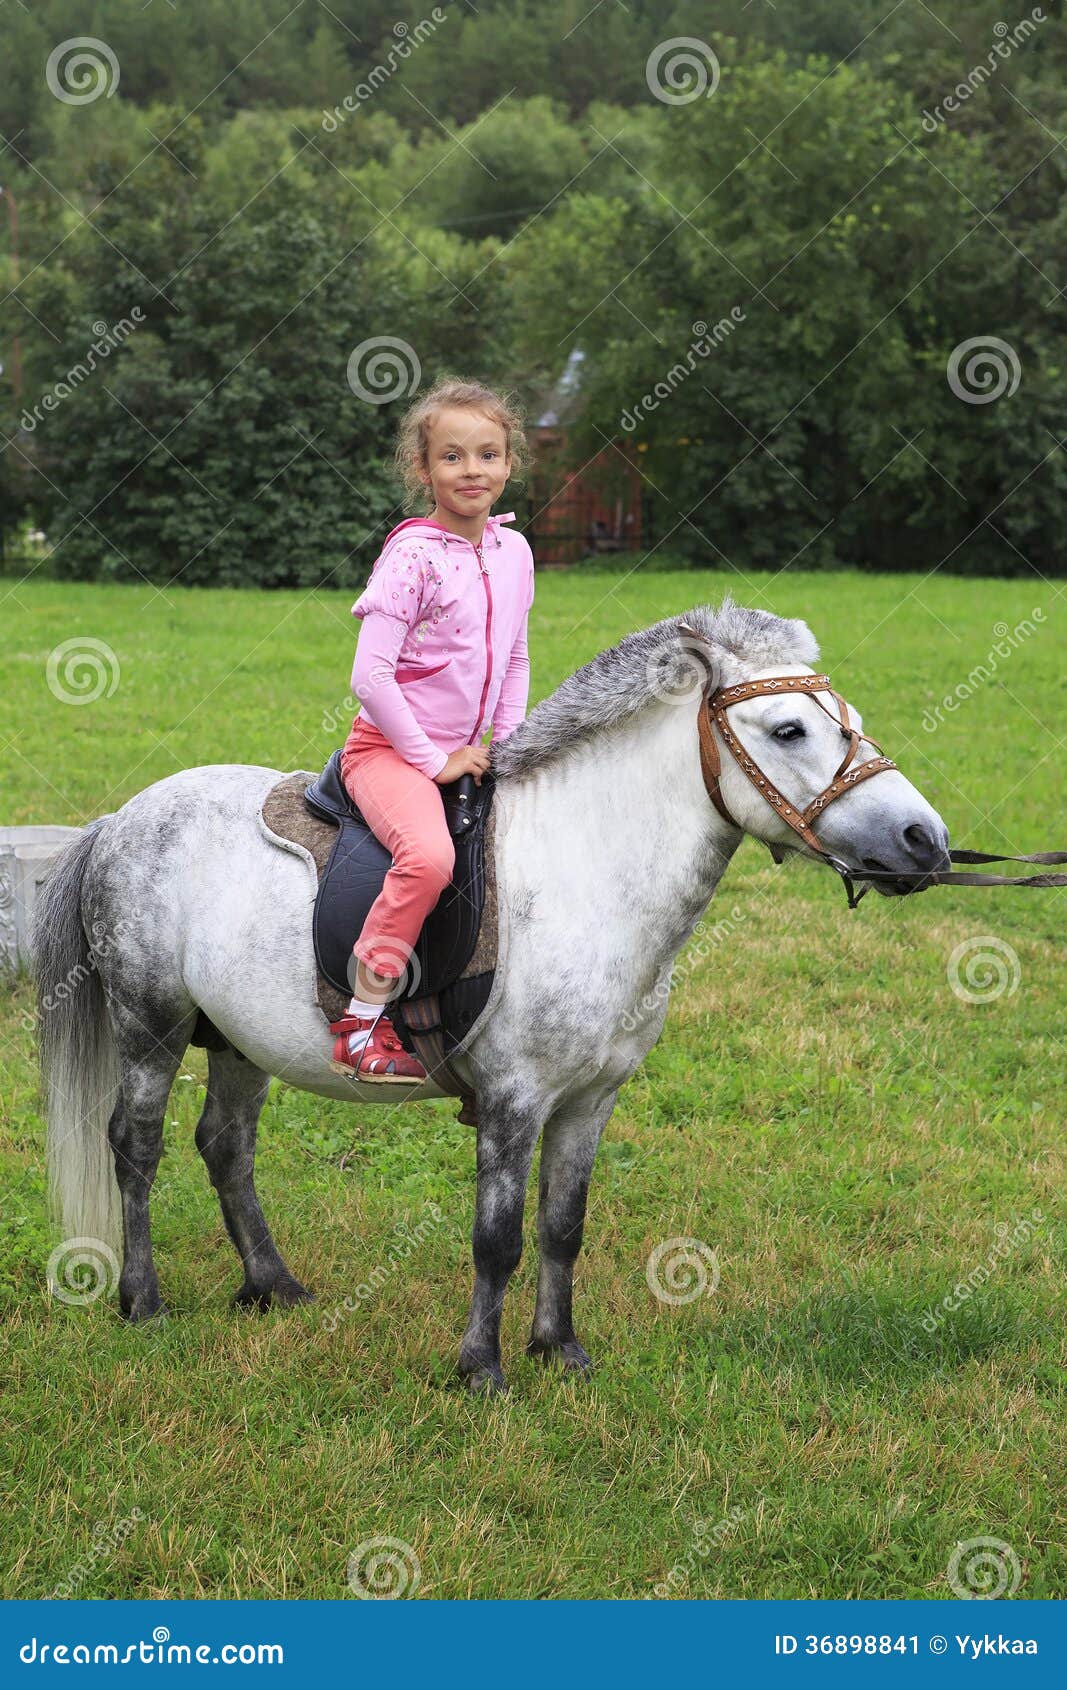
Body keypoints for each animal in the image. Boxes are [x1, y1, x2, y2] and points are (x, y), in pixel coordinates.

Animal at [35, 601, 953, 1392]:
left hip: (235, 1041)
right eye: (788, 729)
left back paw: (273, 1286)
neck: (584, 868)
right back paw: (143, 1302)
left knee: (225, 1145)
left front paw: (559, 1350)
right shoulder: (515, 1098)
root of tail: (119, 820)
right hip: (151, 1027)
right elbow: (496, 1238)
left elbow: (561, 1226)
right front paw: (481, 1368)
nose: (925, 841)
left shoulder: (589, 1099)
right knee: (136, 1146)